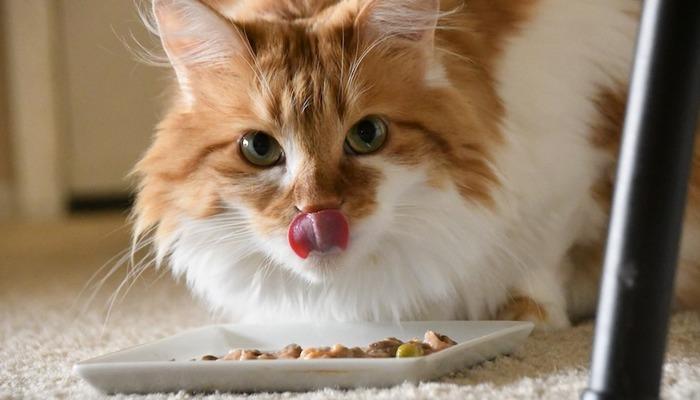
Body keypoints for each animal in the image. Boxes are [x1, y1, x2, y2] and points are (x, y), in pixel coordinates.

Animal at [133, 0, 700, 329]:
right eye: (259, 148)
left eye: (367, 135)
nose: (317, 215)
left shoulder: (577, 161)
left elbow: (543, 255)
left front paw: (532, 314)